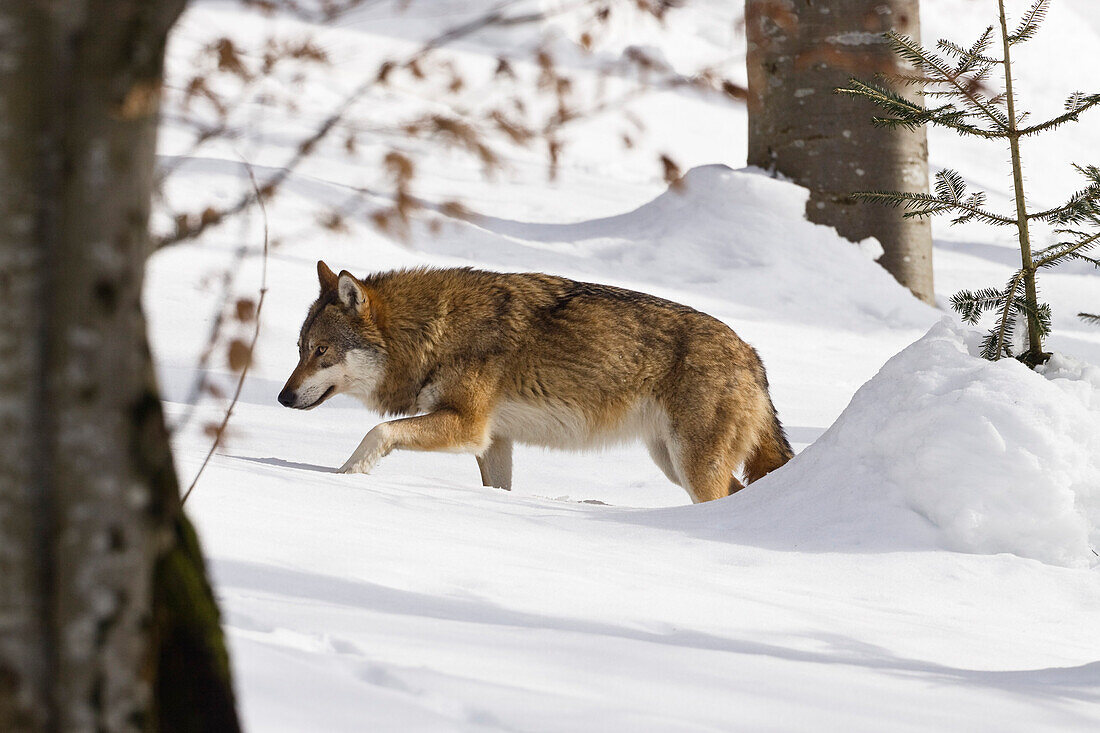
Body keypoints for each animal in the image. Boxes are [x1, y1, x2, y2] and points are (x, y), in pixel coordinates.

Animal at [275, 259, 792, 499]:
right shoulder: (493, 440)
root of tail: (754, 359)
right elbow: (496, 489)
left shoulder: (468, 426)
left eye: (321, 352)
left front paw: (346, 476)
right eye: (300, 350)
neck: (433, 331)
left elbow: (378, 431)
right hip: (671, 461)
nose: (281, 397)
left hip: (690, 466)